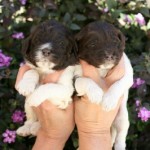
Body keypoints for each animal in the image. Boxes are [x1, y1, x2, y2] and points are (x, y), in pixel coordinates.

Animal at [74, 20, 133, 150]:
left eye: (115, 41)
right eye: (92, 44)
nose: (109, 55)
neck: (102, 70)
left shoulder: (127, 72)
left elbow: (119, 84)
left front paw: (108, 100)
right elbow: (84, 80)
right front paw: (96, 93)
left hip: (122, 118)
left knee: (121, 135)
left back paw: (120, 146)